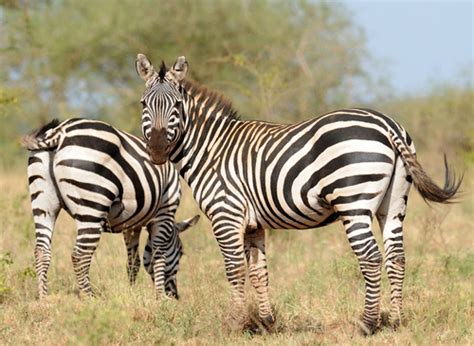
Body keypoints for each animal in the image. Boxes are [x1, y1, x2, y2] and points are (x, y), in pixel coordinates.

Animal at [21, 118, 200, 300]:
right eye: (181, 252)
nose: (175, 296)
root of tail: (60, 131)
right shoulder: (165, 212)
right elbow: (158, 256)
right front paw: (160, 298)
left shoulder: (131, 224)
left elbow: (133, 262)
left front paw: (132, 292)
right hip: (92, 204)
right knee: (80, 255)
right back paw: (90, 299)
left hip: (43, 203)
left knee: (41, 251)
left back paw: (44, 299)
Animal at [135, 53, 462, 332]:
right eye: (143, 105)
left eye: (177, 106)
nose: (158, 151)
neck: (211, 149)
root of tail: (386, 124)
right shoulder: (253, 224)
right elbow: (258, 271)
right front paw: (266, 322)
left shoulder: (225, 215)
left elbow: (234, 269)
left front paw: (234, 323)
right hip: (393, 204)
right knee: (397, 257)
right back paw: (394, 321)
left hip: (353, 202)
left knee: (370, 257)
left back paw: (367, 323)